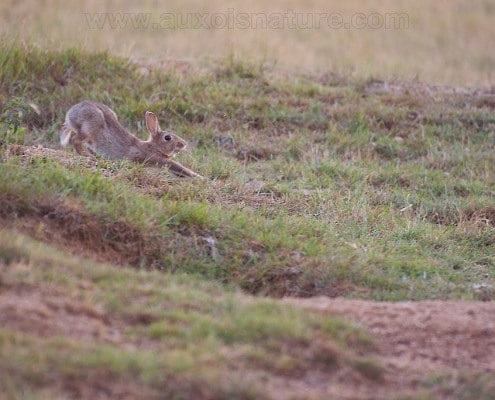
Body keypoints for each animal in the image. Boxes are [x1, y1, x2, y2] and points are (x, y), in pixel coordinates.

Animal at [59, 100, 202, 177]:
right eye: (168, 137)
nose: (183, 144)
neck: (153, 147)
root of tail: (70, 114)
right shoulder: (155, 159)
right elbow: (180, 167)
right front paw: (200, 177)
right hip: (91, 127)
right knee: (75, 140)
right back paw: (88, 156)